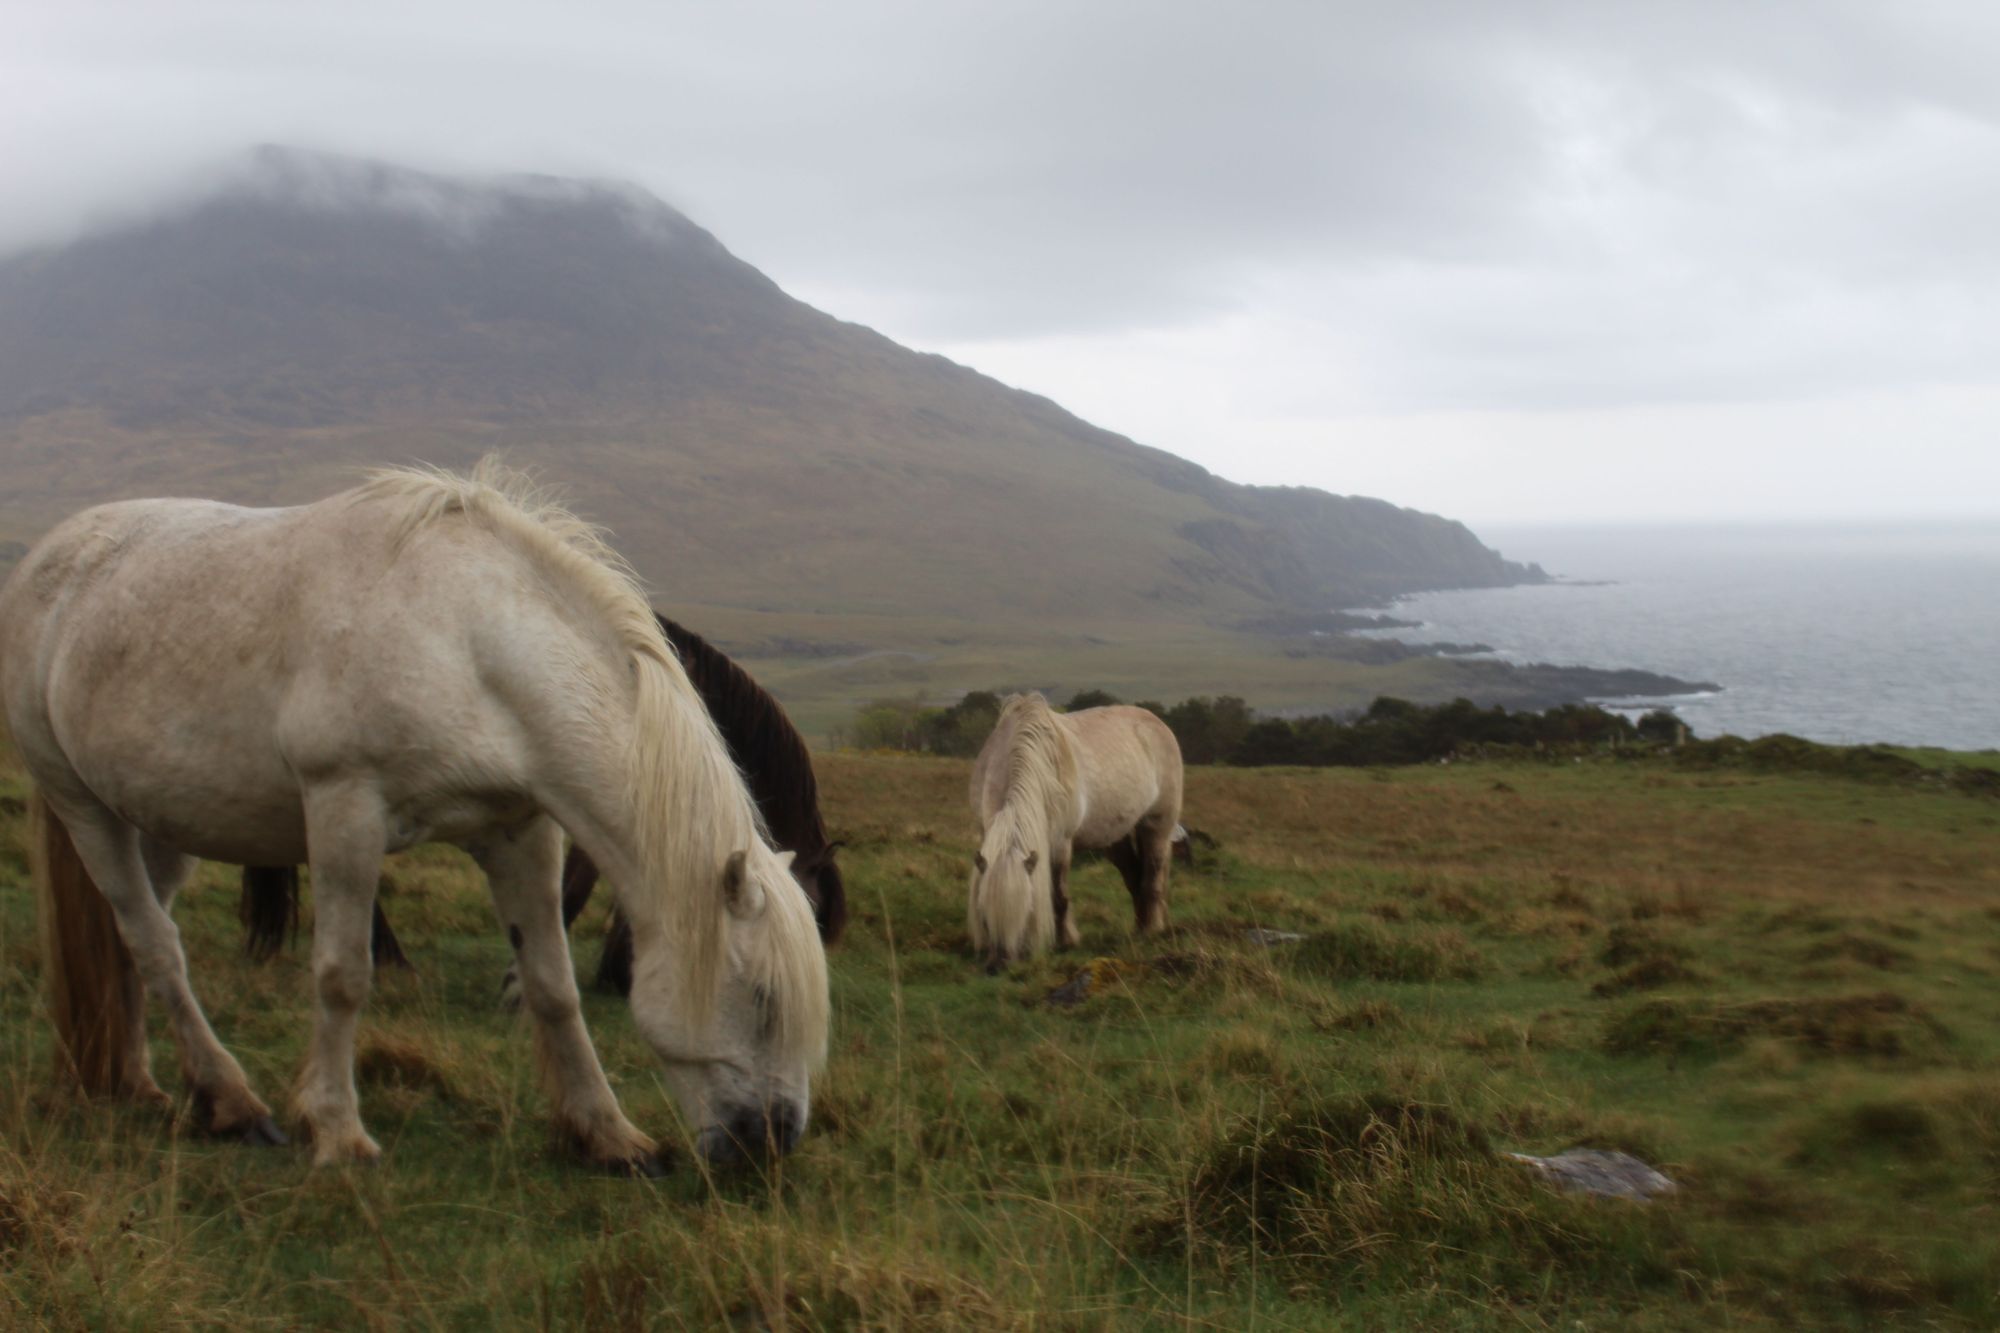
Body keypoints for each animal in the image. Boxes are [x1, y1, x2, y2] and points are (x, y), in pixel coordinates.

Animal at [972, 684, 1184, 964]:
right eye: (985, 915)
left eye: (1026, 913)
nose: (999, 965)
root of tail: (1158, 724)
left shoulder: (1060, 844)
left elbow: (1059, 895)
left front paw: (1066, 940)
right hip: (1115, 837)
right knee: (1134, 876)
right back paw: (1139, 927)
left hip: (1156, 826)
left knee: (1152, 875)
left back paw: (1151, 929)